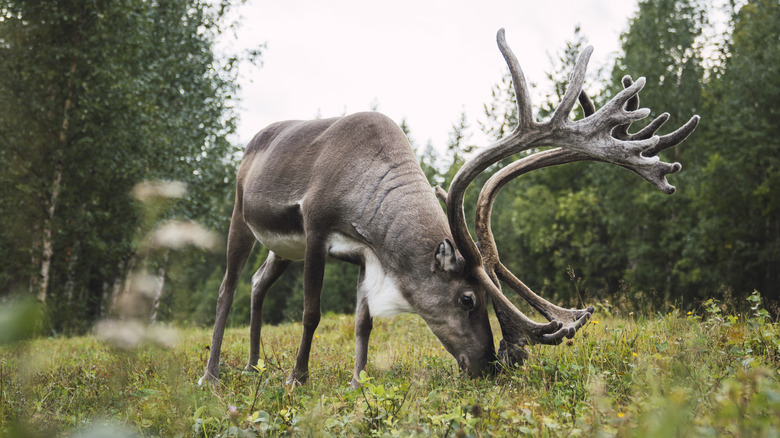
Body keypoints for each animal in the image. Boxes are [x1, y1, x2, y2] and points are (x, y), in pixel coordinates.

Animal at [199, 29, 699, 388]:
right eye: (467, 298)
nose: (490, 364)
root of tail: (253, 140)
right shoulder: (318, 229)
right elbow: (312, 311)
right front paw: (297, 379)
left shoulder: (365, 254)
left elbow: (363, 321)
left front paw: (358, 382)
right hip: (242, 217)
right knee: (226, 288)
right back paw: (212, 374)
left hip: (282, 247)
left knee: (258, 284)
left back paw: (253, 366)